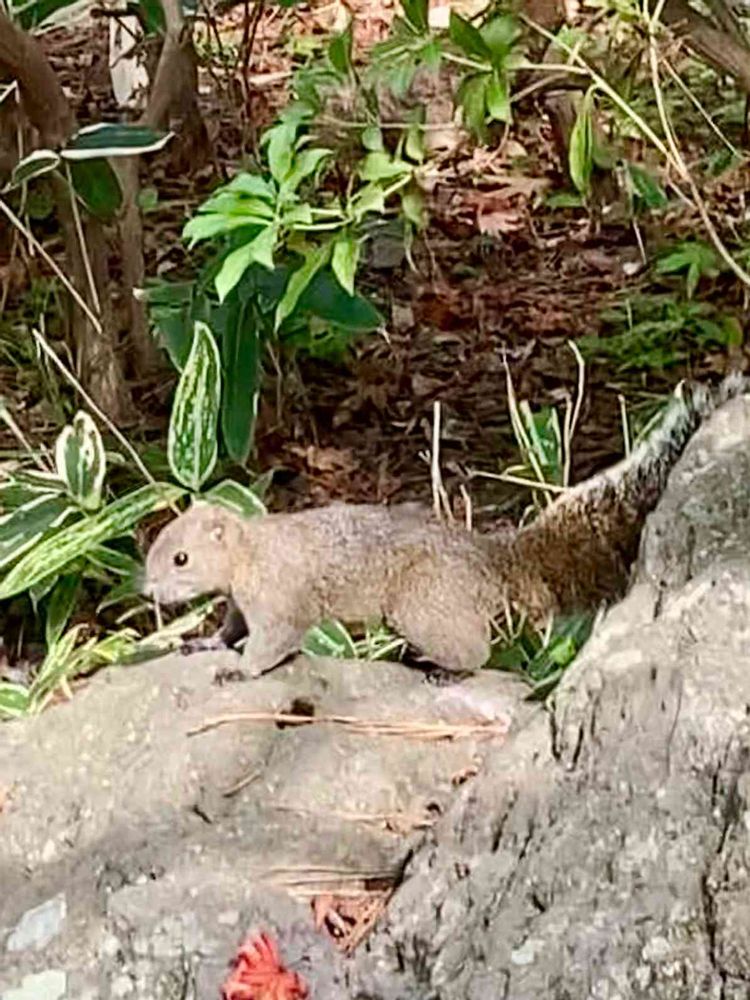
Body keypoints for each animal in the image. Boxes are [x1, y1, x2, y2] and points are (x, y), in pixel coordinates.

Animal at [144, 375, 746, 676]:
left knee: (473, 653)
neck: (248, 553)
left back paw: (442, 667)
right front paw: (206, 645)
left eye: (180, 557)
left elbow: (273, 643)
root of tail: (492, 561)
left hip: (421, 604)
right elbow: (231, 629)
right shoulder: (240, 602)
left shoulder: (280, 598)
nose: (147, 589)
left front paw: (239, 670)